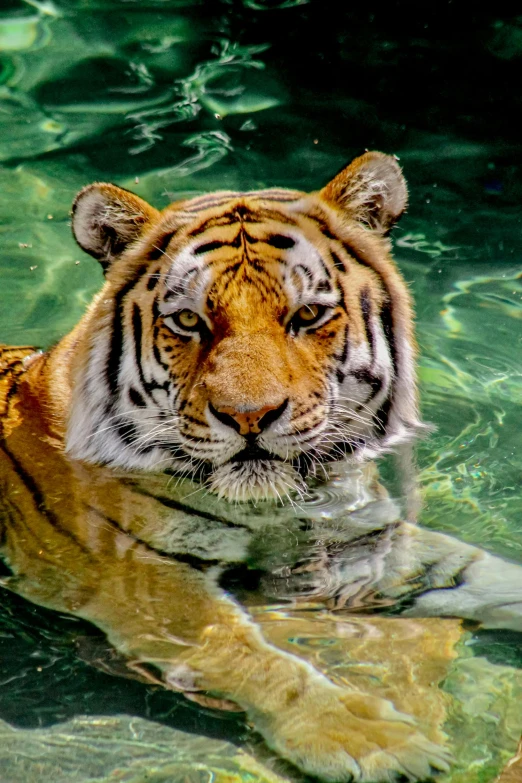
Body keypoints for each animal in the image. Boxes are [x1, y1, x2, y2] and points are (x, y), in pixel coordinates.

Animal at [2, 153, 516, 783]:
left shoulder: (359, 536)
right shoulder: (142, 576)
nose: (249, 417)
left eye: (308, 314)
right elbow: (248, 652)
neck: (276, 506)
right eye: (189, 321)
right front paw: (364, 737)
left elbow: (479, 572)